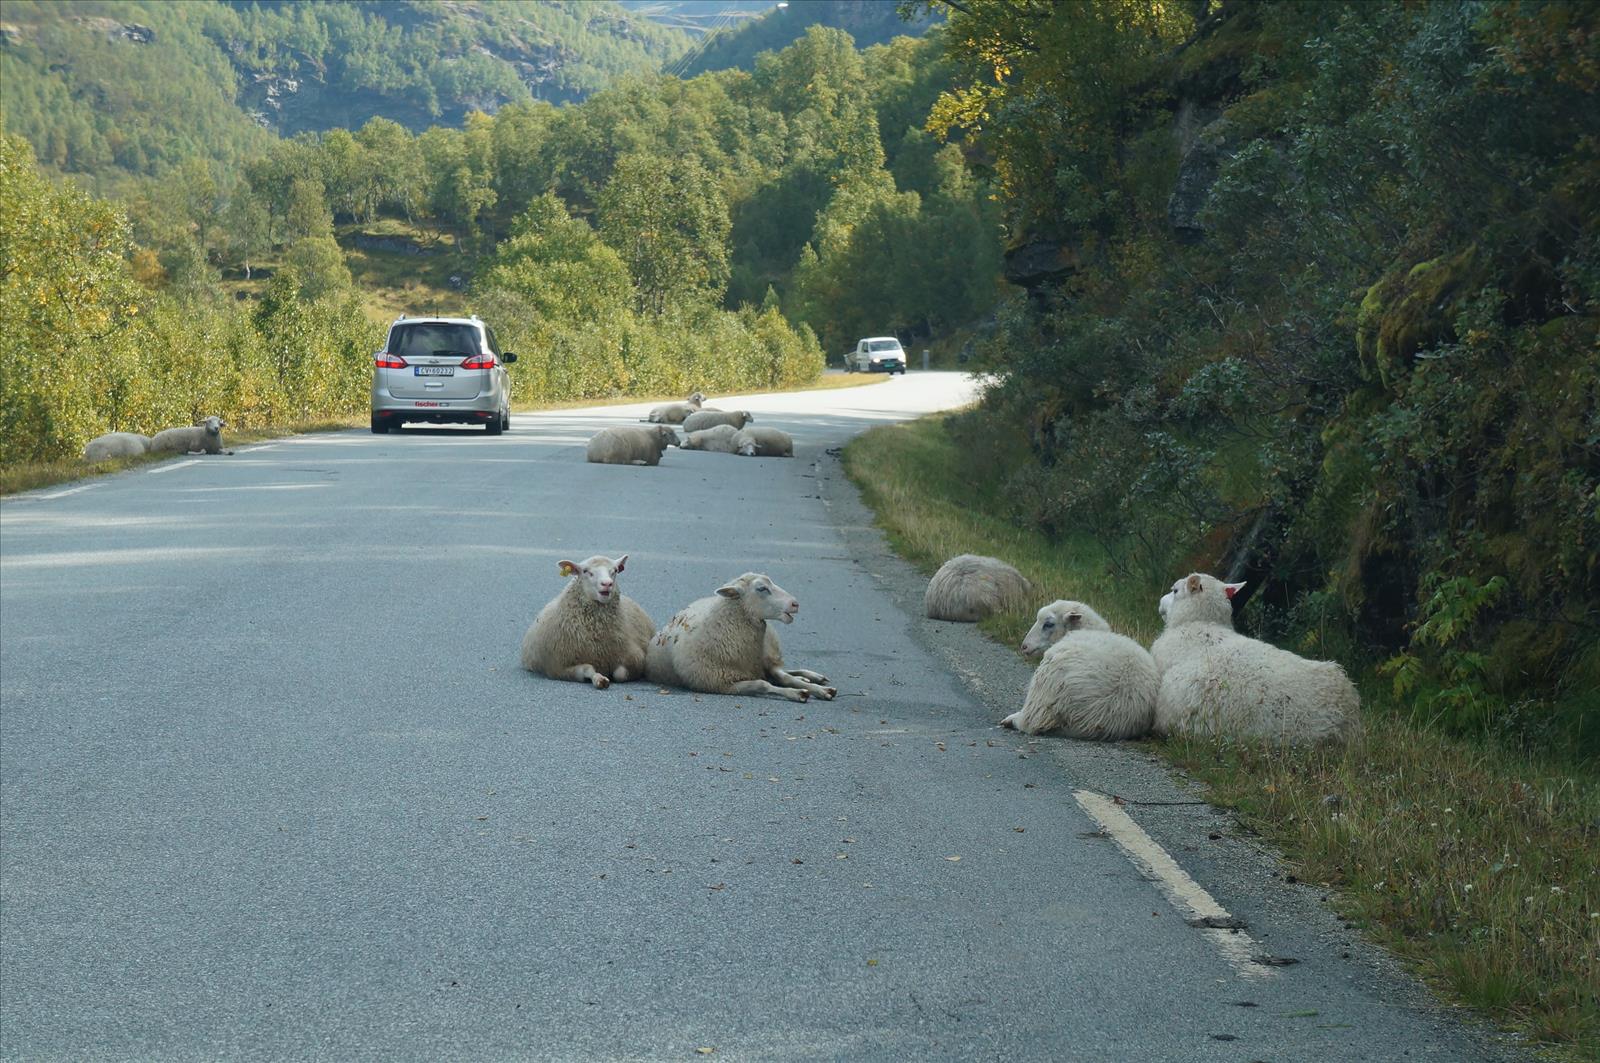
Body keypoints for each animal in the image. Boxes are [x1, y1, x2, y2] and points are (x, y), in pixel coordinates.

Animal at [518, 557, 656, 688]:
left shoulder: (636, 658)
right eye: (585, 571)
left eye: (615, 570)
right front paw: (600, 679)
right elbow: (587, 669)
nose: (607, 584)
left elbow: (620, 674)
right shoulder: (559, 669)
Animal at [643, 573, 838, 704]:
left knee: (782, 673)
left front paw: (808, 690)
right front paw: (798, 693)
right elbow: (762, 684)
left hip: (768, 652)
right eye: (761, 588)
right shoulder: (722, 684)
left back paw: (815, 681)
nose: (795, 604)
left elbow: (779, 678)